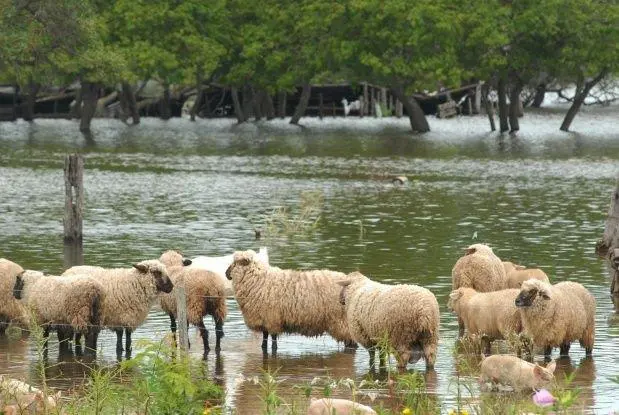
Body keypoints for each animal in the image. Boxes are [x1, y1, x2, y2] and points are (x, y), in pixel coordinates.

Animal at [225, 250, 356, 352]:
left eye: (236, 263)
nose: (226, 273)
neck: (258, 279)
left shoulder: (272, 320)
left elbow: (273, 343)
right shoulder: (265, 321)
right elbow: (264, 342)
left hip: (340, 321)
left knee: (351, 343)